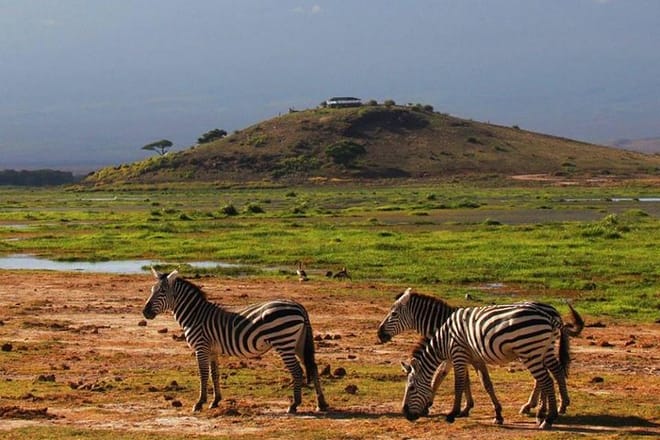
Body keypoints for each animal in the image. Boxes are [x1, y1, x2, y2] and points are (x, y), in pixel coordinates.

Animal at [142, 268, 329, 414]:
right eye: (151, 290)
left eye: (162, 292)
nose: (145, 312)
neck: (195, 315)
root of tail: (298, 306)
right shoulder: (212, 350)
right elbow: (214, 374)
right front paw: (215, 401)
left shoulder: (201, 347)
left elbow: (203, 374)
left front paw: (199, 403)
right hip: (298, 343)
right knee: (313, 367)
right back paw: (321, 404)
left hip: (284, 343)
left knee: (297, 371)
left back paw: (294, 405)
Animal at [401, 302, 574, 429]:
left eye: (411, 388)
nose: (405, 414)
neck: (445, 339)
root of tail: (548, 315)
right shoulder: (475, 359)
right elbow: (486, 384)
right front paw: (497, 415)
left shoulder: (458, 354)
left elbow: (458, 384)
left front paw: (452, 414)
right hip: (545, 349)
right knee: (555, 372)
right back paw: (555, 409)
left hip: (529, 351)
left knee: (546, 380)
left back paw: (548, 418)